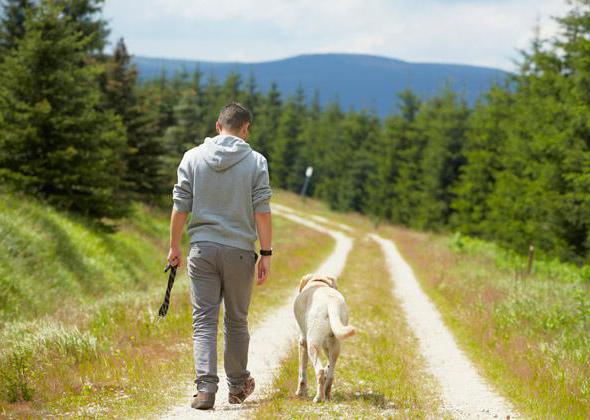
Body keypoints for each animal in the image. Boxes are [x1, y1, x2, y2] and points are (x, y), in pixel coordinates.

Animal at [294, 274, 356, 402]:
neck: (319, 282)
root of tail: (331, 303)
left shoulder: (302, 342)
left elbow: (302, 372)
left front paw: (300, 392)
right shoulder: (326, 345)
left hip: (312, 345)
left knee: (320, 371)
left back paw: (319, 397)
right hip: (335, 345)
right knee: (331, 374)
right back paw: (327, 395)